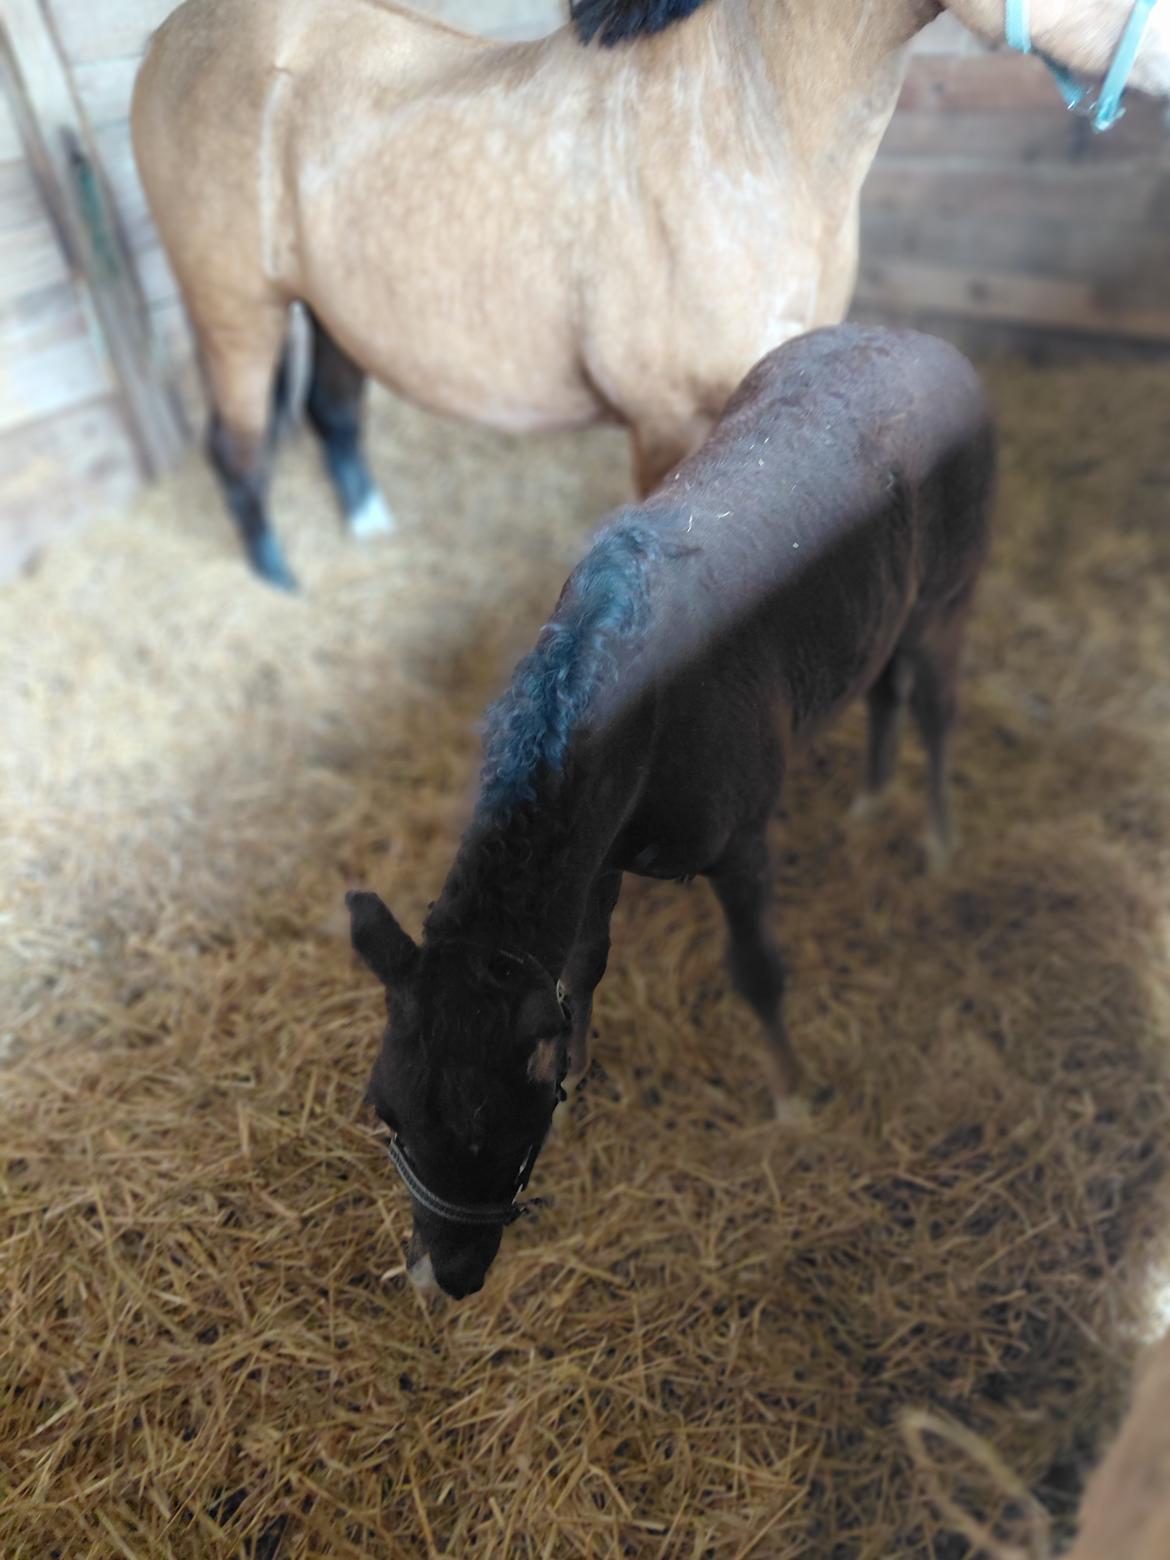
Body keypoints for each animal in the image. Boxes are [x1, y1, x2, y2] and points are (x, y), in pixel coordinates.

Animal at [130, 0, 1159, 590]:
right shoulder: (666, 422)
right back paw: (277, 576)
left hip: (337, 311)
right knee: (238, 446)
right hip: (236, 313)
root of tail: (168, 38)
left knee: (332, 413)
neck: (743, 125)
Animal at [345, 323, 996, 1299]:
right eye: (385, 1109)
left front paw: (793, 1094)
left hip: (949, 596)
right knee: (883, 687)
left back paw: (942, 841)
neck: (632, 696)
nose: (444, 1277)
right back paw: (870, 804)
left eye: (499, 1121)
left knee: (935, 704)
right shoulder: (603, 855)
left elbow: (757, 968)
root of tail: (924, 341)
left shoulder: (742, 842)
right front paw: (583, 1077)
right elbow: (583, 966)